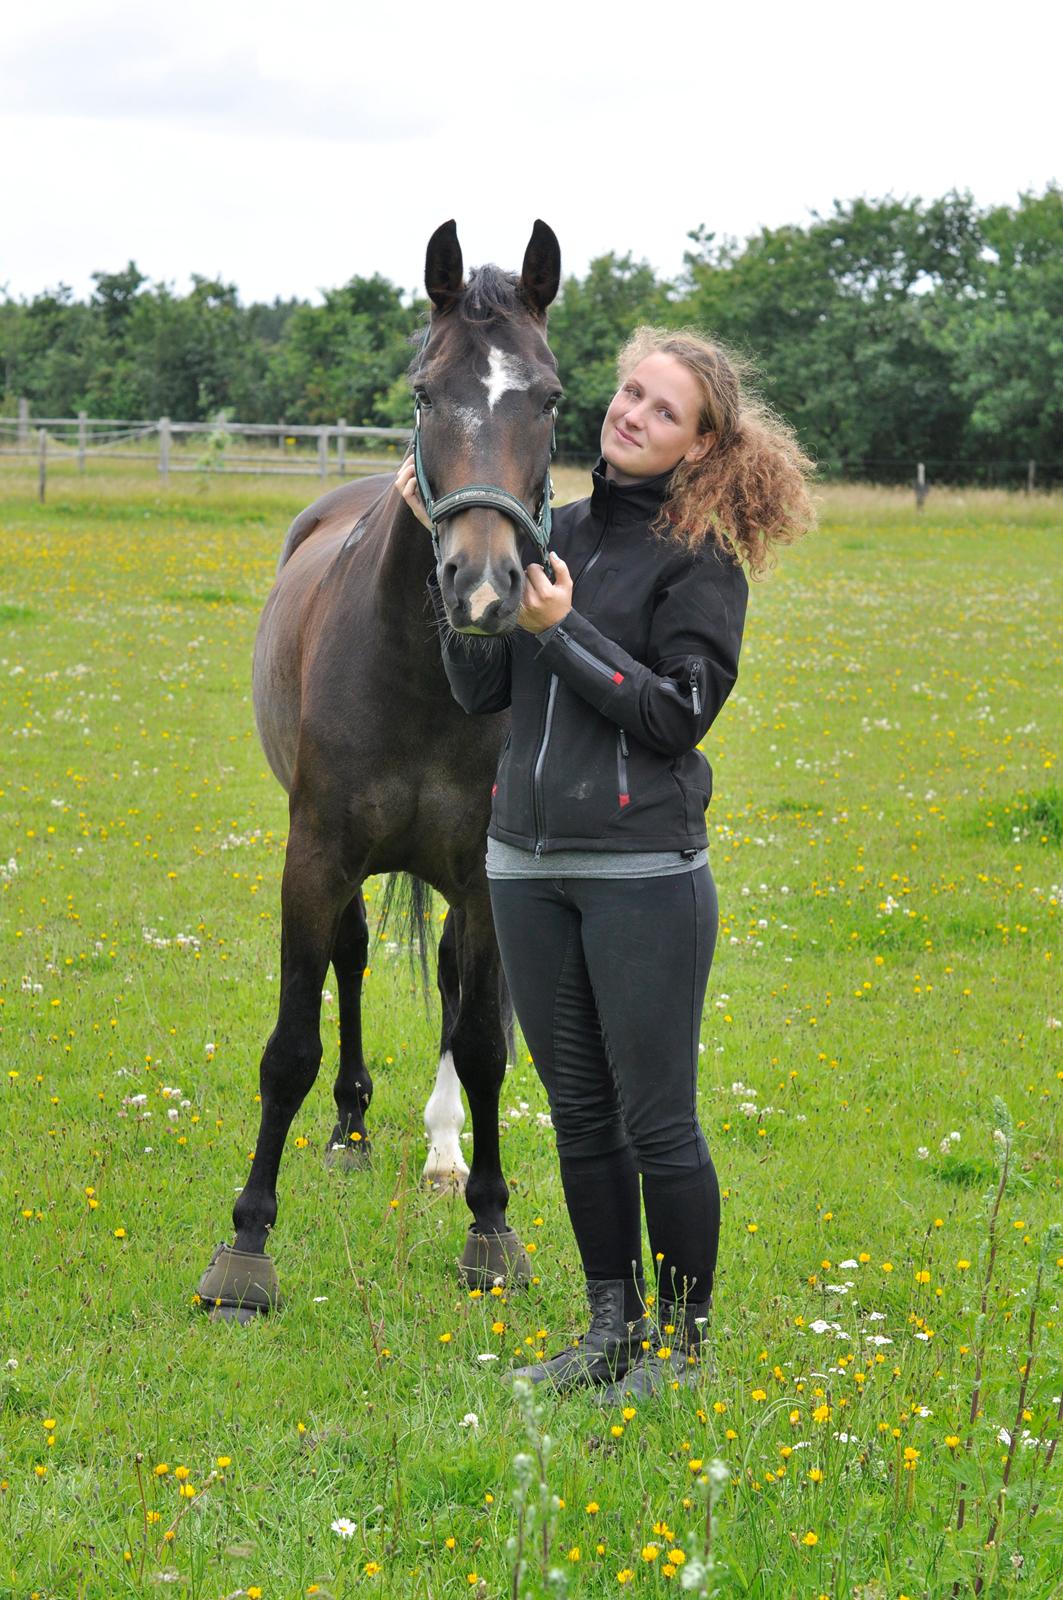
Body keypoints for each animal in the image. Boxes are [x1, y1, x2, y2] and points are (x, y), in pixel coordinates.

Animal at [194, 220, 563, 1321]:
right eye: (423, 392)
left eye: (550, 396)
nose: (481, 587)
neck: (422, 673)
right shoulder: (314, 855)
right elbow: (289, 1047)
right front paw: (247, 1246)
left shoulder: (481, 875)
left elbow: (480, 1042)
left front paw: (491, 1227)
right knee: (351, 963)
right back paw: (351, 1129)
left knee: (442, 984)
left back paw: (441, 1155)